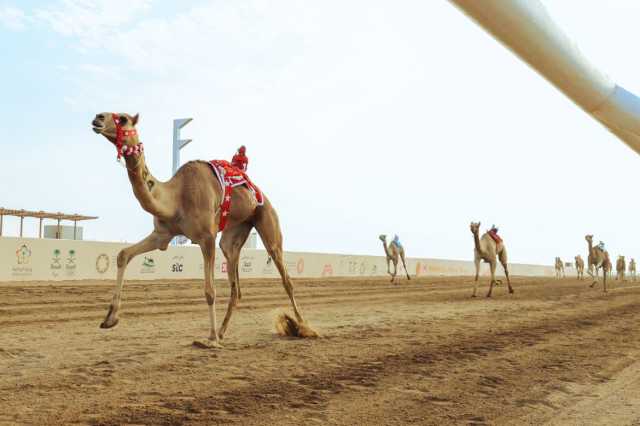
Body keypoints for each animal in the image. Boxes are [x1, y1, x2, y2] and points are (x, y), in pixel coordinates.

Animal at [90, 112, 318, 346]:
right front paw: (109, 319)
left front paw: (210, 338)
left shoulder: (206, 237)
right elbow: (123, 254)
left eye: (123, 119)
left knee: (285, 278)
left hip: (268, 222)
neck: (176, 197)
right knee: (236, 286)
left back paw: (303, 328)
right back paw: (223, 332)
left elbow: (210, 291)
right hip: (233, 234)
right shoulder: (162, 235)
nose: (97, 118)